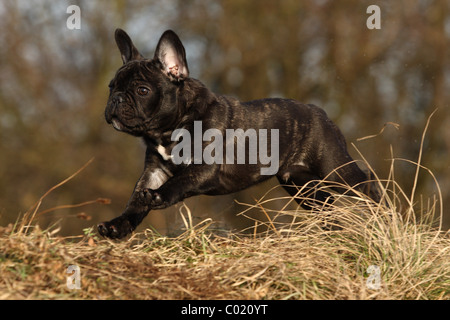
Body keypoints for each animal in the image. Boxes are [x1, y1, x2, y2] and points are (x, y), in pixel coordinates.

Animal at [98, 29, 380, 238]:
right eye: (111, 87)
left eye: (142, 90)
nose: (116, 99)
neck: (169, 130)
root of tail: (321, 113)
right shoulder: (154, 172)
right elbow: (135, 201)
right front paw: (117, 225)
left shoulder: (204, 169)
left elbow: (179, 182)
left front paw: (158, 196)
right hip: (299, 183)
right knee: (324, 204)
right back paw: (332, 232)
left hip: (334, 170)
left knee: (366, 183)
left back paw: (380, 214)